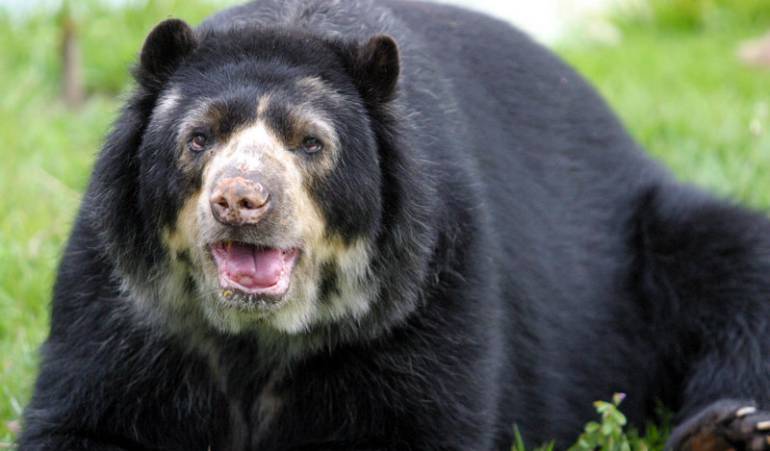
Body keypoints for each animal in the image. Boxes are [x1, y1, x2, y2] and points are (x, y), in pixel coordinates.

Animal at [18, 0, 770, 450]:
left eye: (311, 143)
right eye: (198, 138)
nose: (241, 200)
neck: (258, 337)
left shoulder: (427, 293)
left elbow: (421, 419)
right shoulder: (120, 299)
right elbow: (85, 414)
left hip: (653, 240)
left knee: (738, 274)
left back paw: (729, 429)